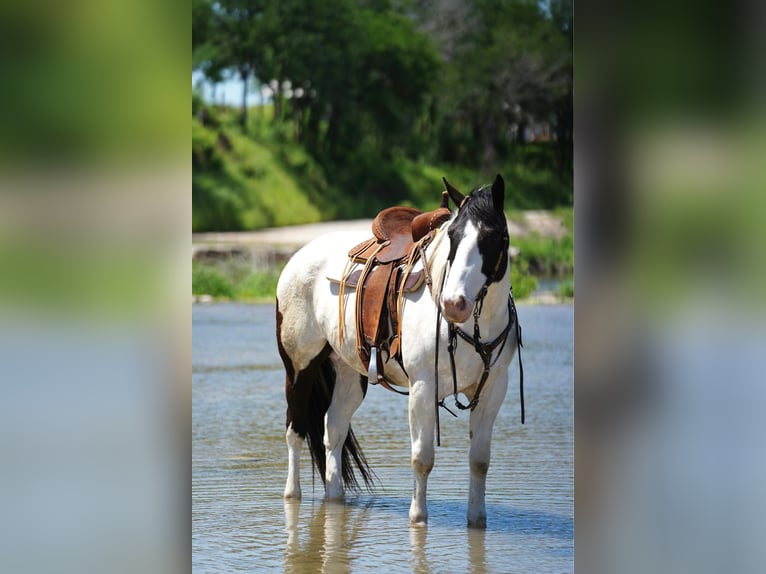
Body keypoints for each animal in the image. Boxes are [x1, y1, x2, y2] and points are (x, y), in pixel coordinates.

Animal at [280, 176, 524, 532]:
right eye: (452, 235)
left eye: (492, 236)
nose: (454, 303)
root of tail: (299, 257)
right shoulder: (423, 387)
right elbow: (422, 459)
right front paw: (418, 518)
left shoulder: (492, 390)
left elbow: (479, 461)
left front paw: (477, 521)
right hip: (300, 368)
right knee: (295, 430)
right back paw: (292, 494)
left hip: (349, 375)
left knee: (333, 430)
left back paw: (335, 497)